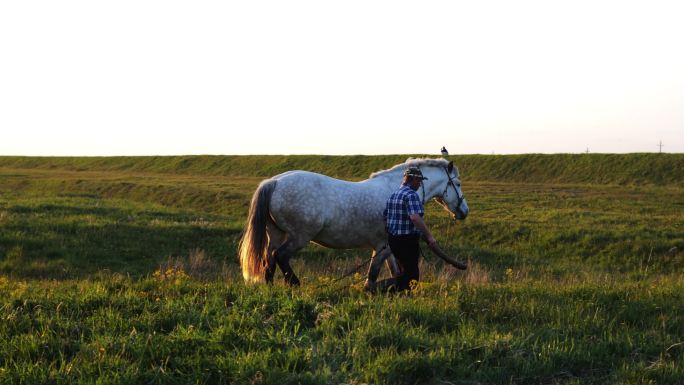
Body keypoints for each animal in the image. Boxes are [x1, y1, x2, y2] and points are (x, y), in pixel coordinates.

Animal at [238, 157, 468, 284]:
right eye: (457, 183)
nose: (464, 211)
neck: (395, 190)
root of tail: (274, 182)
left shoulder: (386, 247)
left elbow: (393, 272)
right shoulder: (382, 246)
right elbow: (373, 275)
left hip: (276, 233)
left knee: (269, 260)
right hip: (300, 236)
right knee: (281, 256)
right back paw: (295, 284)